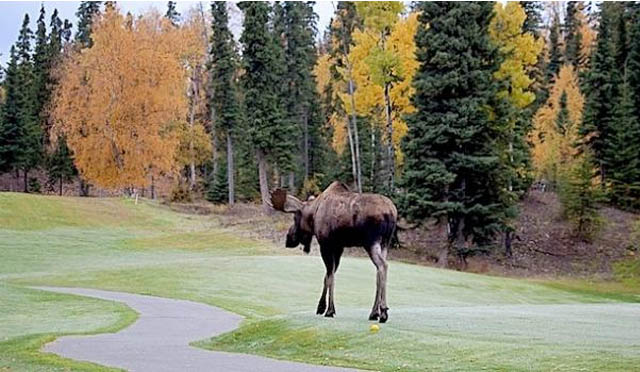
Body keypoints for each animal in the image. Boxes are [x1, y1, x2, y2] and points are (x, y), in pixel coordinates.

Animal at [268, 182, 398, 322]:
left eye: (295, 217)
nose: (288, 238)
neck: (313, 214)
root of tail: (390, 213)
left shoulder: (326, 244)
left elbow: (330, 277)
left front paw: (330, 310)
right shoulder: (338, 247)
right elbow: (327, 276)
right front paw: (321, 307)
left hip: (371, 242)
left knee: (383, 266)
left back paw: (383, 311)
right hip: (385, 243)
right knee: (379, 271)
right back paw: (374, 312)